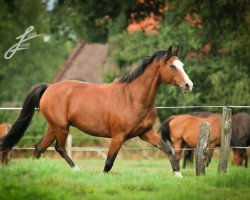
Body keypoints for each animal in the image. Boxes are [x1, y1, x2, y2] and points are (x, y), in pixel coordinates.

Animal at [0, 45, 193, 177]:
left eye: (182, 64)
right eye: (172, 66)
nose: (188, 85)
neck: (134, 98)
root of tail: (49, 87)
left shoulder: (146, 133)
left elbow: (168, 149)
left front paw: (178, 175)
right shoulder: (118, 136)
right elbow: (108, 163)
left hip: (54, 127)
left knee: (39, 148)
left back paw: (35, 171)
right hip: (61, 127)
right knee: (59, 148)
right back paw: (76, 170)